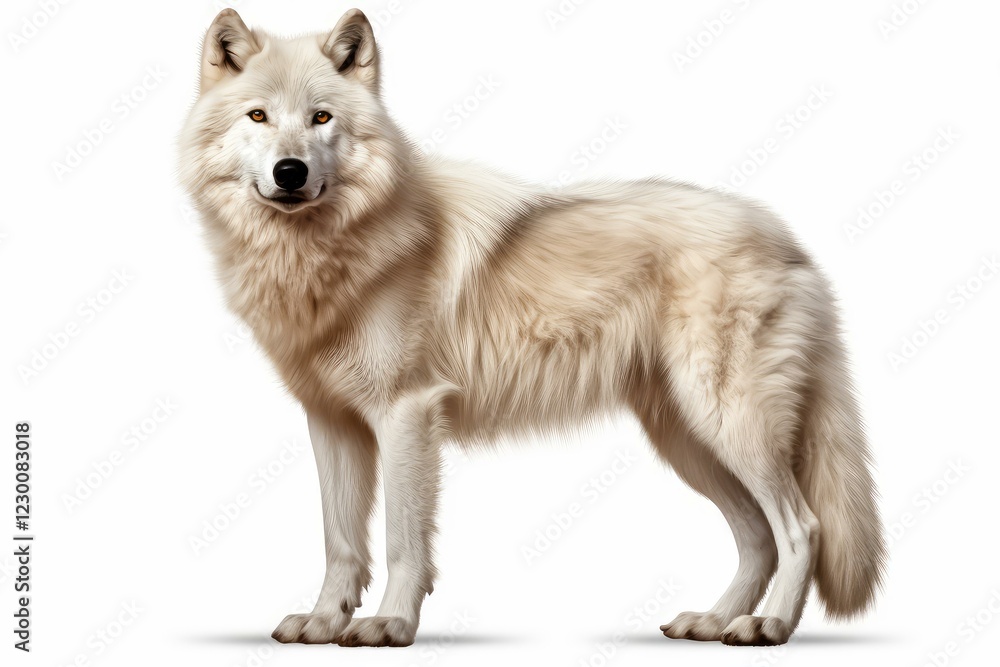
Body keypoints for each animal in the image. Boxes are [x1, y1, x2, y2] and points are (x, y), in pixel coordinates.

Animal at [179, 8, 886, 647]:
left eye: (321, 118)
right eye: (258, 117)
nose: (290, 172)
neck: (325, 254)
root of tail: (789, 241)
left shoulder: (407, 414)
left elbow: (404, 540)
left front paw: (390, 625)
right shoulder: (333, 422)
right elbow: (340, 541)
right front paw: (324, 624)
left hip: (730, 423)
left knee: (803, 527)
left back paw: (768, 626)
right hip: (689, 440)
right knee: (757, 534)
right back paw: (716, 622)